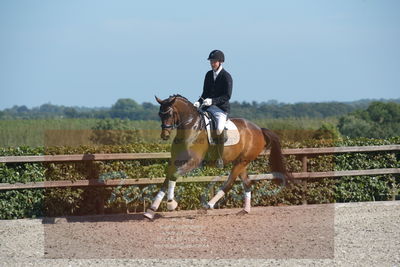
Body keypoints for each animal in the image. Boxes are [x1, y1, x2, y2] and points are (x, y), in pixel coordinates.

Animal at [144, 95, 290, 221]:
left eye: (169, 114)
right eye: (159, 114)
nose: (164, 135)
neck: (191, 127)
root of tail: (259, 129)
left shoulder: (193, 162)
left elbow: (174, 176)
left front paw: (171, 204)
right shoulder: (175, 161)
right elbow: (168, 178)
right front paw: (150, 211)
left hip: (242, 161)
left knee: (229, 183)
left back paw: (207, 206)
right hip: (241, 162)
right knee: (247, 183)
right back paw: (245, 210)